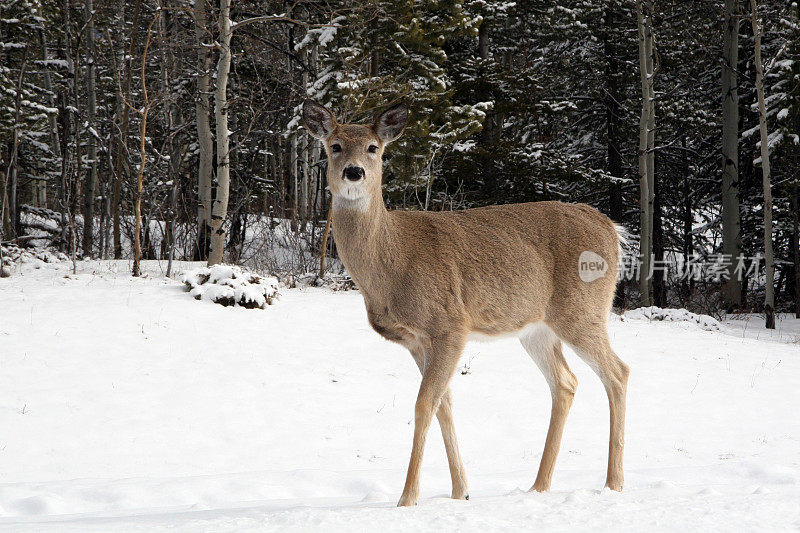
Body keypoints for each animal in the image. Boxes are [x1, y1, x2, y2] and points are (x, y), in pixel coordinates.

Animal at [302, 98, 632, 508]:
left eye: (373, 148)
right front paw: (461, 491)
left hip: (582, 310)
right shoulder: (416, 340)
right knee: (566, 382)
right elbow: (444, 403)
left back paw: (614, 482)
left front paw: (408, 498)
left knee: (618, 372)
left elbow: (424, 403)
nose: (353, 172)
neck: (390, 264)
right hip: (536, 328)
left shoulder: (449, 324)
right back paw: (539, 486)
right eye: (335, 146)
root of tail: (612, 229)